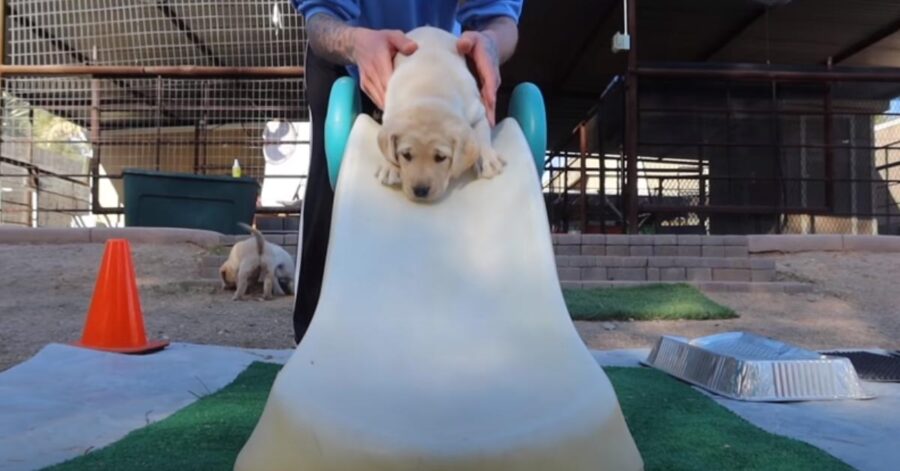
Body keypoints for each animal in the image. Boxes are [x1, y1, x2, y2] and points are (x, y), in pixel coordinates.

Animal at [374, 26, 506, 202]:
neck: (429, 92)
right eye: (406, 155)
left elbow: (482, 133)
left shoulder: (477, 111)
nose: (420, 191)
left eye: (440, 158)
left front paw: (487, 158)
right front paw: (389, 166)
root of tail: (428, 27)